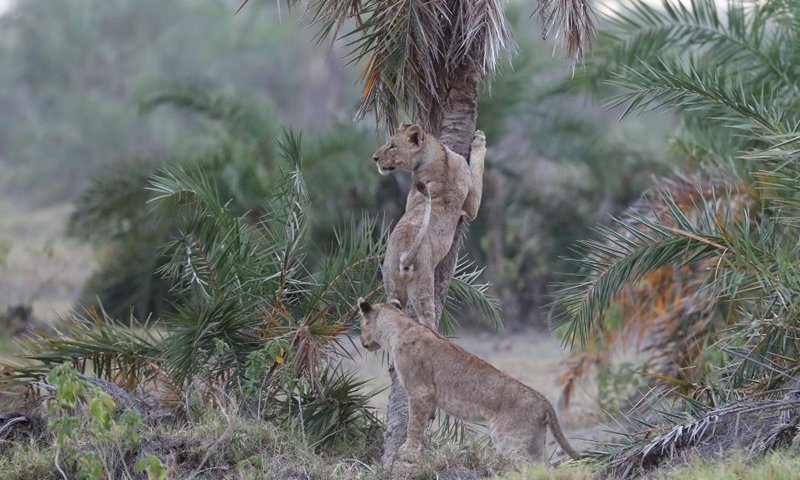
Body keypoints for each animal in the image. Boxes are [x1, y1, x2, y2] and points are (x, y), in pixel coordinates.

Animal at [357, 298, 580, 465]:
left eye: (360, 324)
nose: (362, 342)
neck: (397, 328)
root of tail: (543, 400)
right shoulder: (429, 396)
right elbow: (424, 422)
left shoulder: (420, 391)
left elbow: (414, 423)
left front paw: (408, 452)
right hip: (536, 442)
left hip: (508, 438)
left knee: (524, 464)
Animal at [374, 124, 486, 328]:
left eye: (392, 146)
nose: (375, 157)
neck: (439, 153)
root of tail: (405, 257)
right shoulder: (471, 206)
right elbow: (477, 169)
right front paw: (480, 139)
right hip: (422, 287)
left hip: (395, 285)